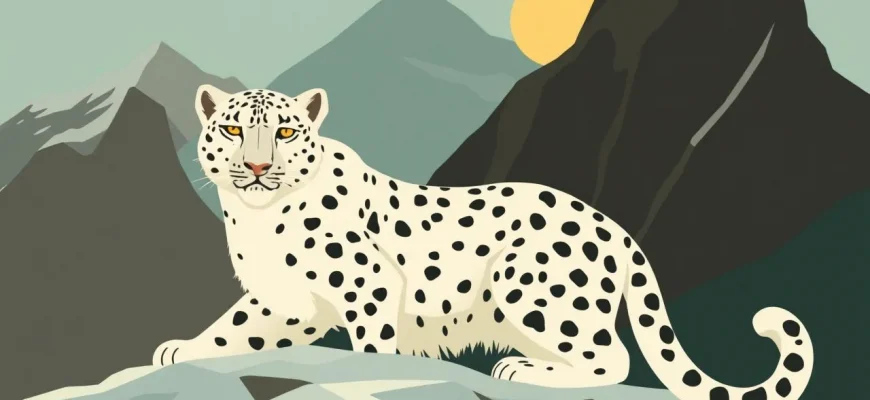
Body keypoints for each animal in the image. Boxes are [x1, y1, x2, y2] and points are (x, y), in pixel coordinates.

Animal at [153, 84, 814, 400]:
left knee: (613, 359)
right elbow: (236, 330)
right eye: (232, 128)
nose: (258, 167)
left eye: (286, 131)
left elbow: (372, 344)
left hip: (536, 293)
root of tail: (613, 226)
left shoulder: (367, 286)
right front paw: (181, 351)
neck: (257, 219)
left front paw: (373, 373)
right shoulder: (284, 300)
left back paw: (520, 370)